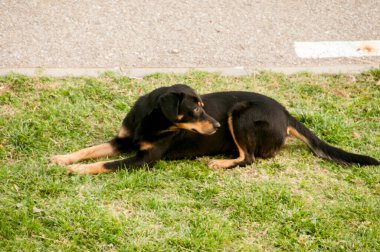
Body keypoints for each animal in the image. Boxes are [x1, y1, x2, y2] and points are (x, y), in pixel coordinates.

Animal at [49, 83, 378, 174]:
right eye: (195, 108)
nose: (217, 124)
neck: (151, 122)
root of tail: (286, 113)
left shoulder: (144, 159)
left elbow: (104, 164)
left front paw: (75, 171)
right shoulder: (123, 141)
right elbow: (89, 150)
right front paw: (62, 159)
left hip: (241, 115)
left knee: (249, 159)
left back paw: (219, 163)